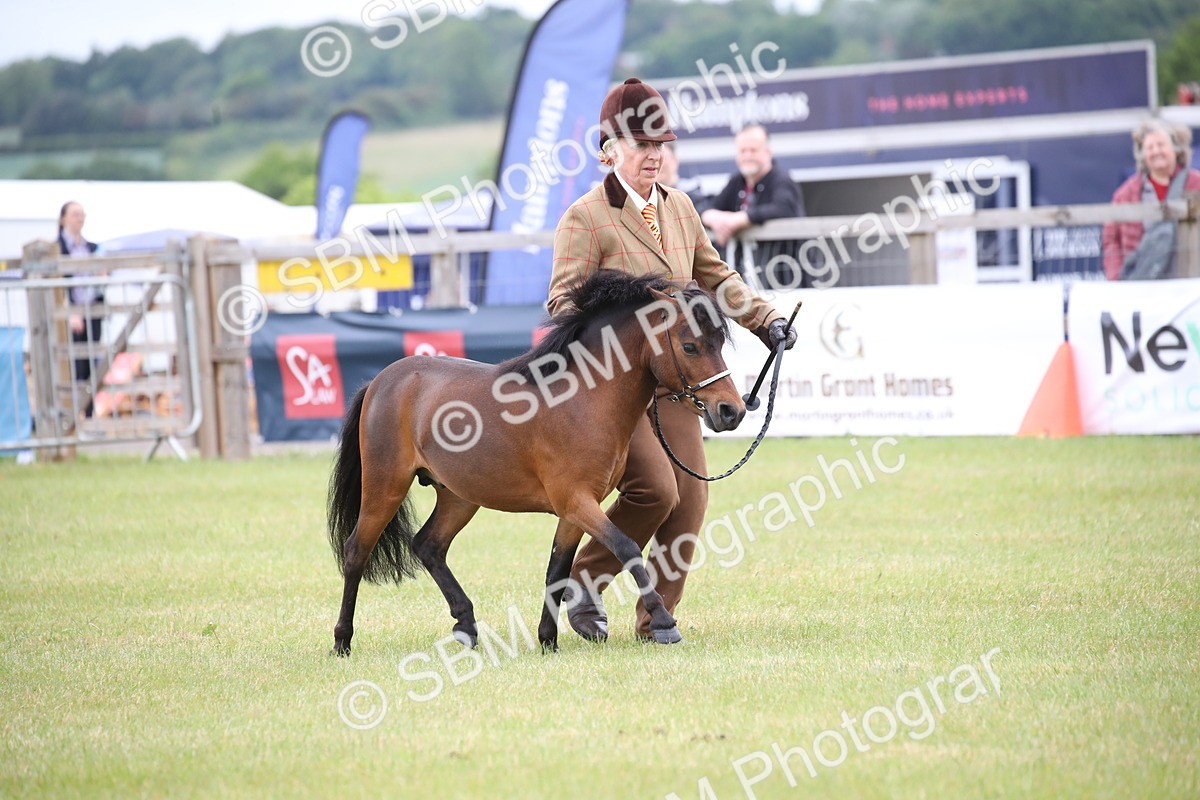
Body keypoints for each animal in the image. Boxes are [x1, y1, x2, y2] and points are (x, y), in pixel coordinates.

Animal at [326, 270, 746, 655]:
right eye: (690, 346)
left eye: (719, 343)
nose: (732, 411)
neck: (581, 400)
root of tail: (382, 380)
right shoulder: (577, 502)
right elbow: (626, 547)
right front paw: (663, 623)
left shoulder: (575, 510)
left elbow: (556, 571)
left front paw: (548, 640)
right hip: (386, 486)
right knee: (356, 552)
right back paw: (342, 641)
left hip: (459, 495)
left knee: (428, 545)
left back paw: (466, 627)